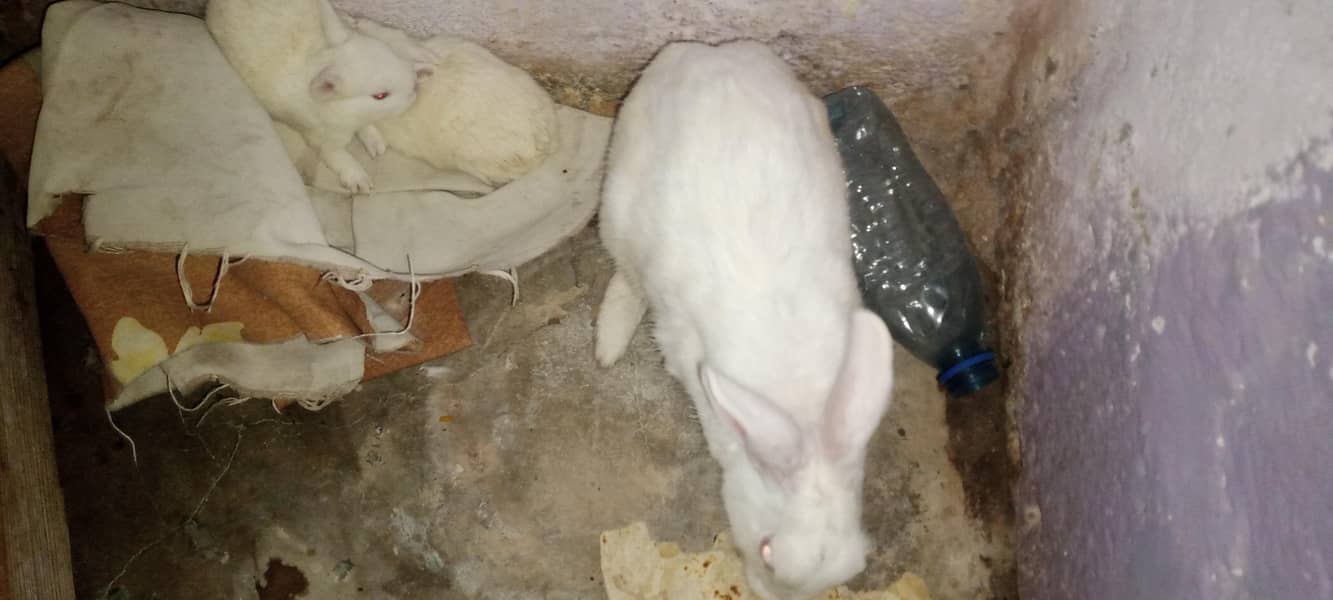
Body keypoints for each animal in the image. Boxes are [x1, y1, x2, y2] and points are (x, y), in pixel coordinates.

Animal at [205, 0, 436, 192]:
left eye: (389, 53)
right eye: (380, 96)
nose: (414, 91)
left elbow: (365, 127)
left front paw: (376, 145)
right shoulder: (319, 138)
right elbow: (336, 155)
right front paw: (360, 181)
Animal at [594, 40, 895, 600]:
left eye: (853, 568)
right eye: (767, 552)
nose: (768, 595)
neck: (801, 413)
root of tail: (701, 54)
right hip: (617, 207)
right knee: (625, 275)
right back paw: (609, 340)